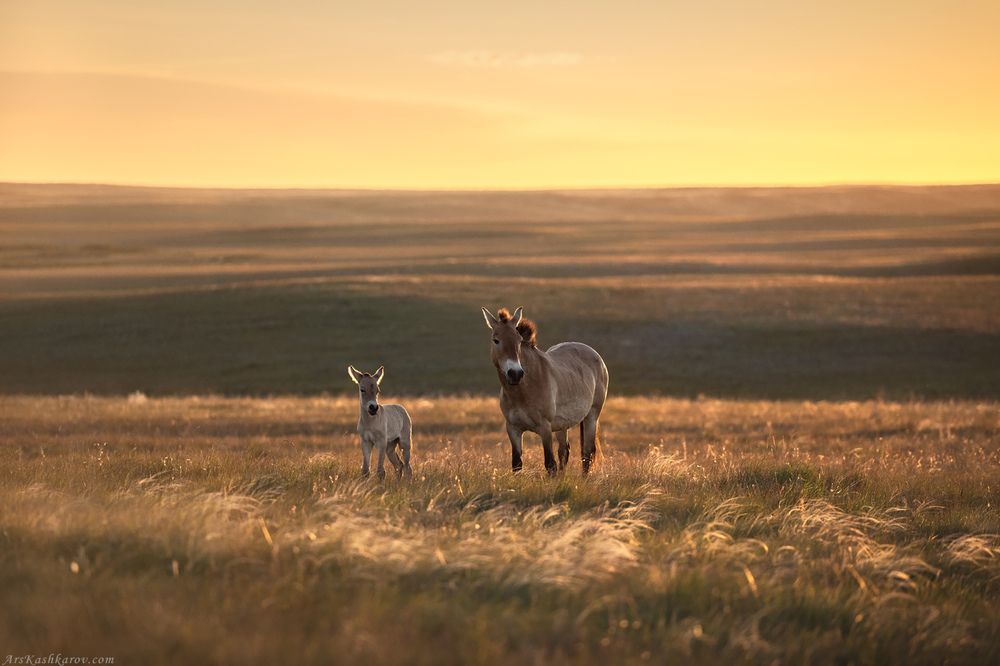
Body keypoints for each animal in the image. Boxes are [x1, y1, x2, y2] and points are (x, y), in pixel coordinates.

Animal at [481, 307, 609, 476]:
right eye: (496, 340)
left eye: (519, 340)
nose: (515, 374)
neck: (523, 391)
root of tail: (595, 355)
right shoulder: (513, 429)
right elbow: (517, 464)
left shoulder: (545, 428)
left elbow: (550, 464)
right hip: (563, 424)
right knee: (564, 451)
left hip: (592, 416)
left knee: (587, 453)